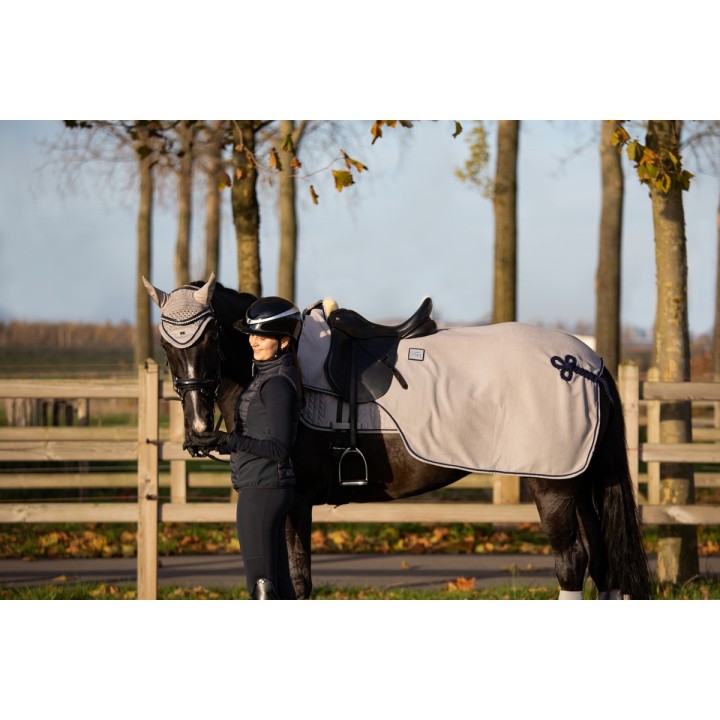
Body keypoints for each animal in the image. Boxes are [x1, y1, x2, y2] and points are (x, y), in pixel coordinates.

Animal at [143, 273, 652, 600]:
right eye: (167, 344)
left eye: (210, 336)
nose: (200, 432)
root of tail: (587, 364)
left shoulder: (296, 501)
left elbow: (296, 583)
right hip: (580, 482)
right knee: (603, 564)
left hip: (552, 486)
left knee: (572, 563)